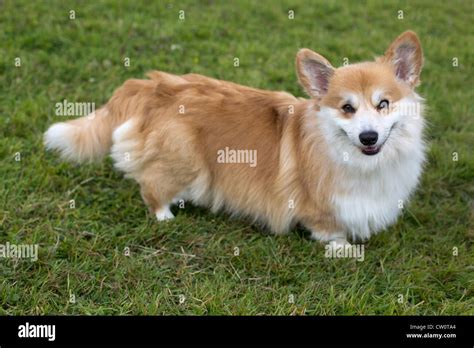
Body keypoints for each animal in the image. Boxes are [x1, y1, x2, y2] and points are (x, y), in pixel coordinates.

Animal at [44, 31, 426, 246]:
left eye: (383, 104)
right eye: (347, 108)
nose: (368, 136)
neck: (360, 162)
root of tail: (154, 85)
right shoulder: (318, 207)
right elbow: (329, 230)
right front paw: (344, 249)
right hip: (186, 162)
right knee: (151, 186)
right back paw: (165, 216)